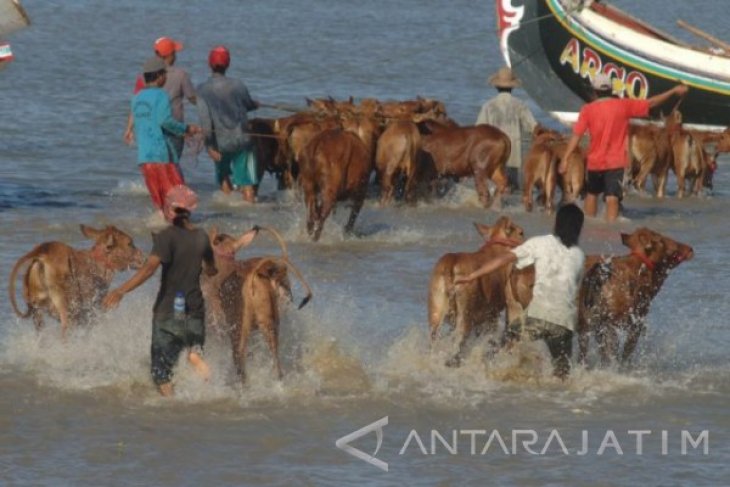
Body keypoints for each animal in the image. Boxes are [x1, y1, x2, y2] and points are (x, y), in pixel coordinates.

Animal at [8, 226, 145, 338]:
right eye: (130, 243)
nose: (144, 257)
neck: (99, 265)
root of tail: (42, 253)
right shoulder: (91, 315)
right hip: (67, 312)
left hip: (37, 313)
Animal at [426, 217, 524, 366]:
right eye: (521, 233)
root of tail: (451, 261)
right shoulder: (493, 314)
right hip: (465, 319)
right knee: (457, 349)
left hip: (435, 315)